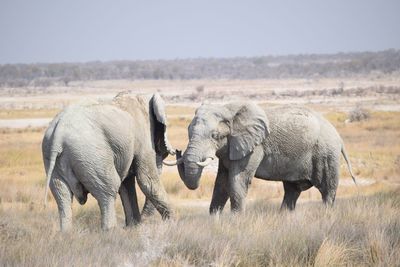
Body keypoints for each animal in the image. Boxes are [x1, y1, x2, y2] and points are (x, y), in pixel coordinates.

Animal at [42, 92, 175, 230]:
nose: (142, 222)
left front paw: (133, 228)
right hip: (92, 155)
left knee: (62, 196)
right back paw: (110, 230)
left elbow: (127, 184)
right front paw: (171, 225)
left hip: (53, 157)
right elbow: (146, 180)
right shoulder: (143, 137)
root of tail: (59, 133)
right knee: (109, 189)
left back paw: (66, 232)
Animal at [166, 103, 356, 215]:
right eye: (188, 132)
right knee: (292, 190)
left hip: (326, 154)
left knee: (327, 190)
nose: (177, 150)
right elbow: (221, 183)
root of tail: (339, 137)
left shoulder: (254, 147)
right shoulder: (230, 148)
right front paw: (215, 220)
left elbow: (236, 181)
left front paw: (235, 221)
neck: (229, 109)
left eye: (215, 136)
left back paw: (326, 216)